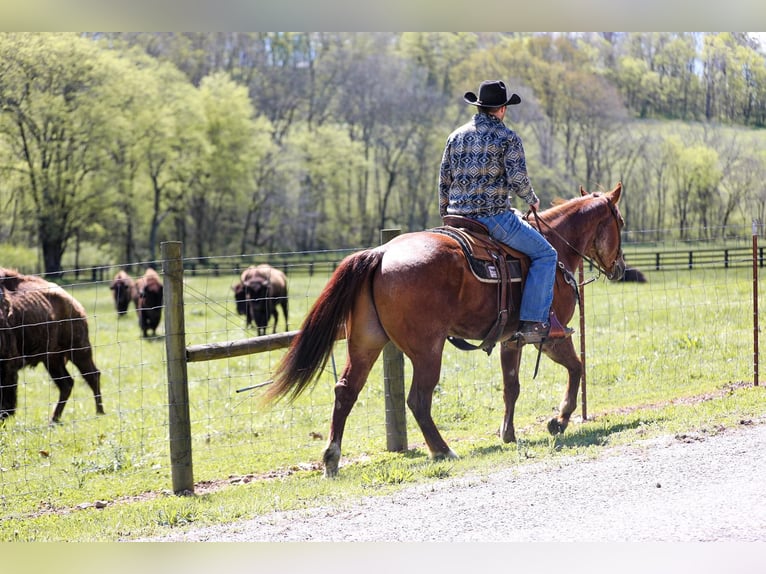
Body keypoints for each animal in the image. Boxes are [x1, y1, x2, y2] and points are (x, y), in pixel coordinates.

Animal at [0, 268, 104, 426]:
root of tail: (73, 302)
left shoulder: (8, 365)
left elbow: (6, 402)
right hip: (52, 360)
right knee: (67, 383)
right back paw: (54, 419)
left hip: (79, 350)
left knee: (92, 375)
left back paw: (99, 412)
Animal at [260, 183, 628, 476]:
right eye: (620, 223)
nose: (621, 268)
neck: (556, 247)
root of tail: (381, 253)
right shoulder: (551, 336)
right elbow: (577, 368)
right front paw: (560, 419)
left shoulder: (512, 341)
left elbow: (511, 386)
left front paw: (508, 434)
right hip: (427, 351)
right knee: (418, 400)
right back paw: (443, 449)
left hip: (365, 343)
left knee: (346, 391)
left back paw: (332, 459)